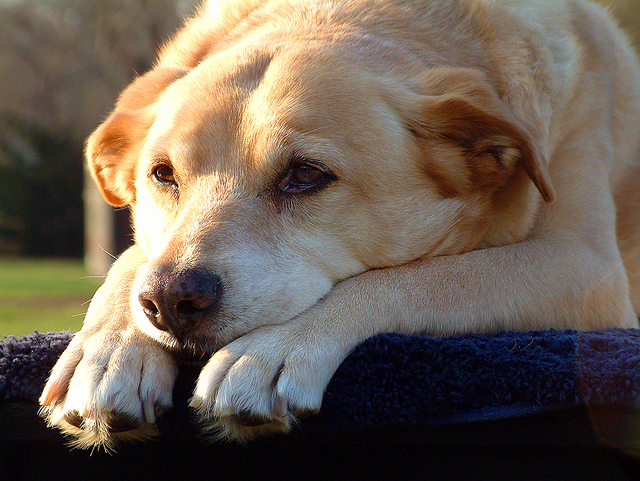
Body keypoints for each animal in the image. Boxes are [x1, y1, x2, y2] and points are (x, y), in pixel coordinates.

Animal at [38, 0, 640, 446]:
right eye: (162, 175)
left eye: (305, 175)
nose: (169, 300)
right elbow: (132, 258)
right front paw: (108, 350)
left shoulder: (584, 268)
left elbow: (428, 277)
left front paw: (273, 348)